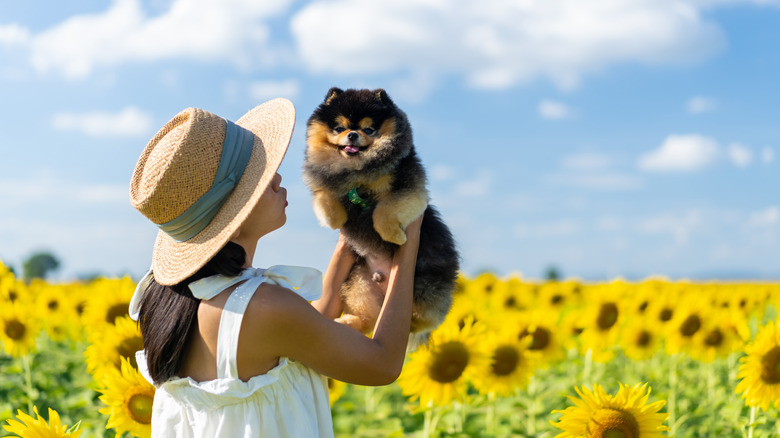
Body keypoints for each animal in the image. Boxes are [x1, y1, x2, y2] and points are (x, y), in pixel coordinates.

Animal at [302, 87, 460, 344]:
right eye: (339, 128)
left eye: (369, 130)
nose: (352, 135)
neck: (358, 172)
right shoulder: (328, 183)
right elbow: (324, 195)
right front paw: (334, 217)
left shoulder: (409, 187)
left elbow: (383, 210)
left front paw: (395, 236)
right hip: (360, 284)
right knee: (370, 318)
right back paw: (348, 323)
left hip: (424, 286)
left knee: (423, 320)